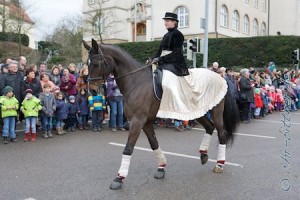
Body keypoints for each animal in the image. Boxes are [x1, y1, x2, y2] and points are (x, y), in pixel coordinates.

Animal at [81, 38, 239, 190]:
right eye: (87, 64)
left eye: (96, 64)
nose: (92, 90)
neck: (136, 81)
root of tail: (220, 77)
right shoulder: (146, 122)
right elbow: (154, 144)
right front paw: (161, 168)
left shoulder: (137, 121)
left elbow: (128, 148)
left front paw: (119, 178)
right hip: (196, 111)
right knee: (209, 127)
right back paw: (203, 155)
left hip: (216, 111)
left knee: (221, 133)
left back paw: (219, 164)